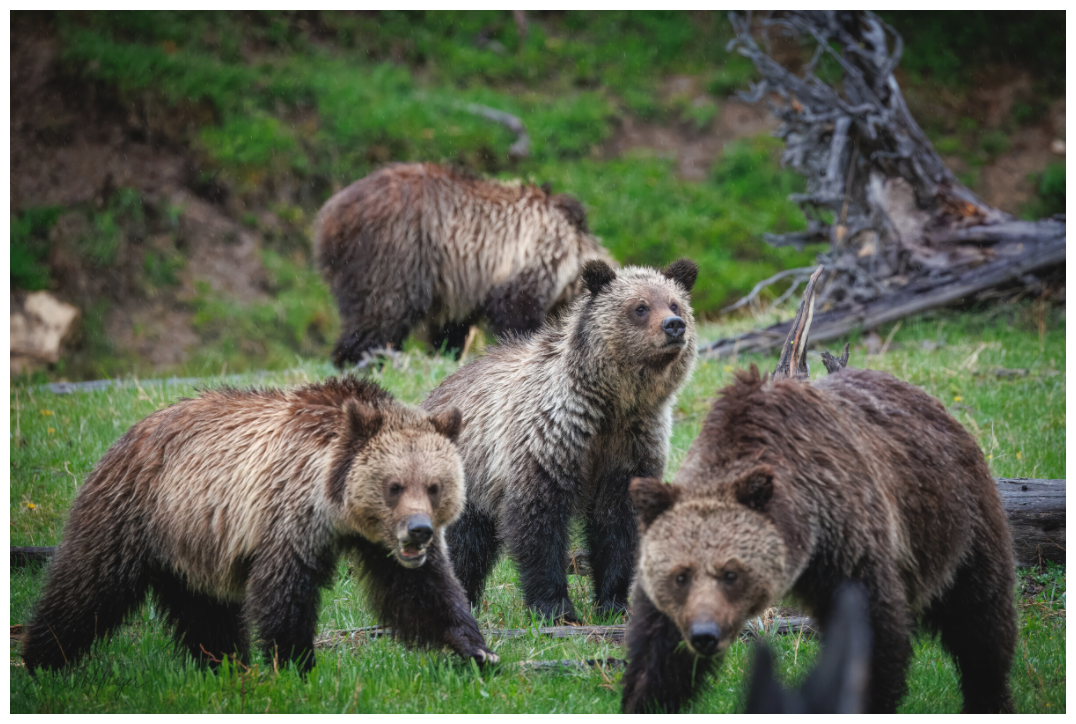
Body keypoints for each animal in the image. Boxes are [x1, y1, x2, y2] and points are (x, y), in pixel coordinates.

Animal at [22, 377, 498, 675]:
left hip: (193, 543)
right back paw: (42, 659)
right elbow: (284, 593)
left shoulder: (378, 544)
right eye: (394, 486)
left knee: (205, 611)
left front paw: (478, 649)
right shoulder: (289, 517)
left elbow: (422, 590)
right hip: (132, 512)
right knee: (88, 586)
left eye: (434, 486)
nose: (418, 531)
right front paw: (296, 666)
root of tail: (131, 431)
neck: (335, 505)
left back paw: (224, 664)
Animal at [314, 162, 615, 366]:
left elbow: (450, 330)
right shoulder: (528, 262)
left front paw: (446, 354)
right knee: (379, 314)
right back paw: (359, 361)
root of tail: (331, 215)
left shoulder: (461, 286)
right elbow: (517, 314)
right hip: (393, 252)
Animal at [421, 258, 699, 622]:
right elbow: (540, 523)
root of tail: (435, 392)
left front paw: (613, 603)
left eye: (675, 303)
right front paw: (555, 607)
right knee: (464, 543)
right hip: (463, 472)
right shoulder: (550, 440)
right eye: (640, 307)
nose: (674, 325)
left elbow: (619, 525)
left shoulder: (631, 446)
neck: (611, 405)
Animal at [620, 269, 1017, 714]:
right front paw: (649, 693)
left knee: (980, 617)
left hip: (956, 520)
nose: (705, 634)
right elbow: (656, 642)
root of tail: (931, 401)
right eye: (680, 576)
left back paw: (989, 693)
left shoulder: (848, 536)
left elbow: (874, 631)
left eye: (732, 573)